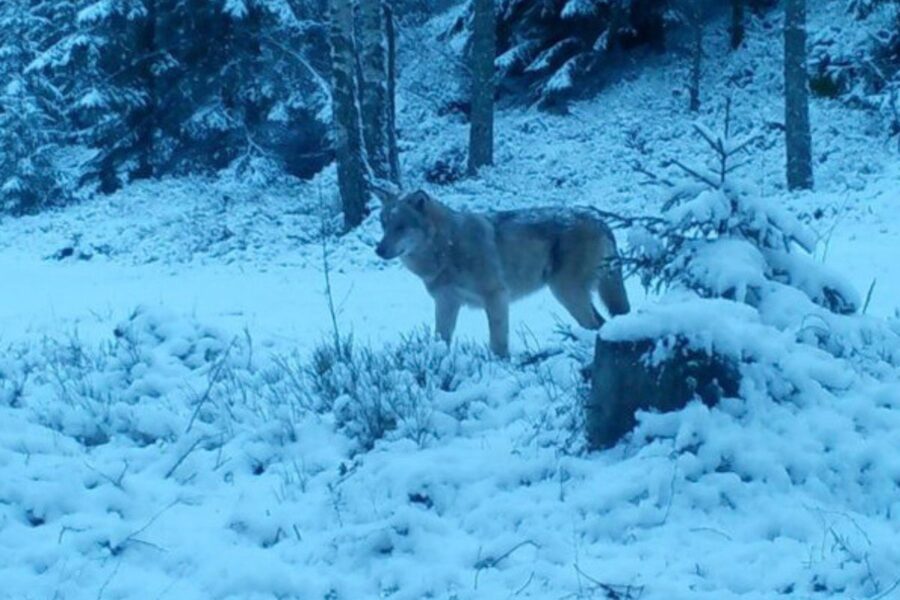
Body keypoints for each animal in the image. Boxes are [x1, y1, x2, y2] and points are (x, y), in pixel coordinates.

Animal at [376, 190, 628, 356]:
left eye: (401, 227)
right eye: (384, 225)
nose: (378, 249)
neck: (447, 247)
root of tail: (600, 220)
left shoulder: (497, 296)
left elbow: (497, 343)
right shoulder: (446, 302)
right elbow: (442, 339)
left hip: (566, 293)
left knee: (596, 325)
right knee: (601, 323)